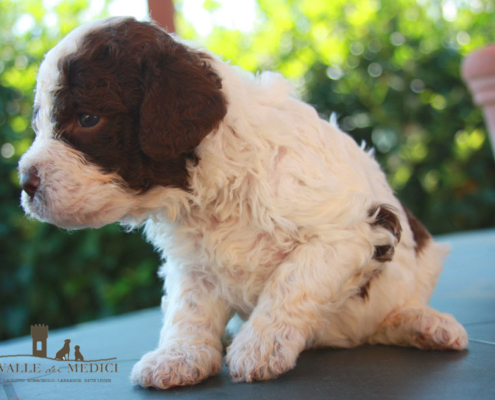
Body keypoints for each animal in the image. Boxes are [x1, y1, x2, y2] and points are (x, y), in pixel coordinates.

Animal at [18, 17, 468, 390]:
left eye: (88, 119)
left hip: (419, 262)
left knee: (390, 313)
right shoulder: (193, 263)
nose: (24, 183)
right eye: (40, 123)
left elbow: (291, 280)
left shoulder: (351, 232)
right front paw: (179, 356)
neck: (219, 185)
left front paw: (260, 347)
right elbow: (188, 309)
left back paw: (423, 323)